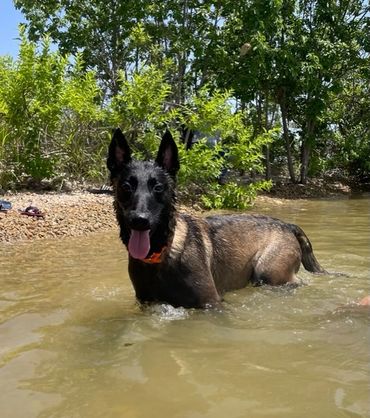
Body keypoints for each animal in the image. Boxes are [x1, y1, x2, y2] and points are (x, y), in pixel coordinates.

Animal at [107, 129, 326, 308]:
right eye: (126, 187)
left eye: (158, 188)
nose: (139, 220)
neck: (160, 253)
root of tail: (287, 224)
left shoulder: (212, 303)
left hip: (267, 272)